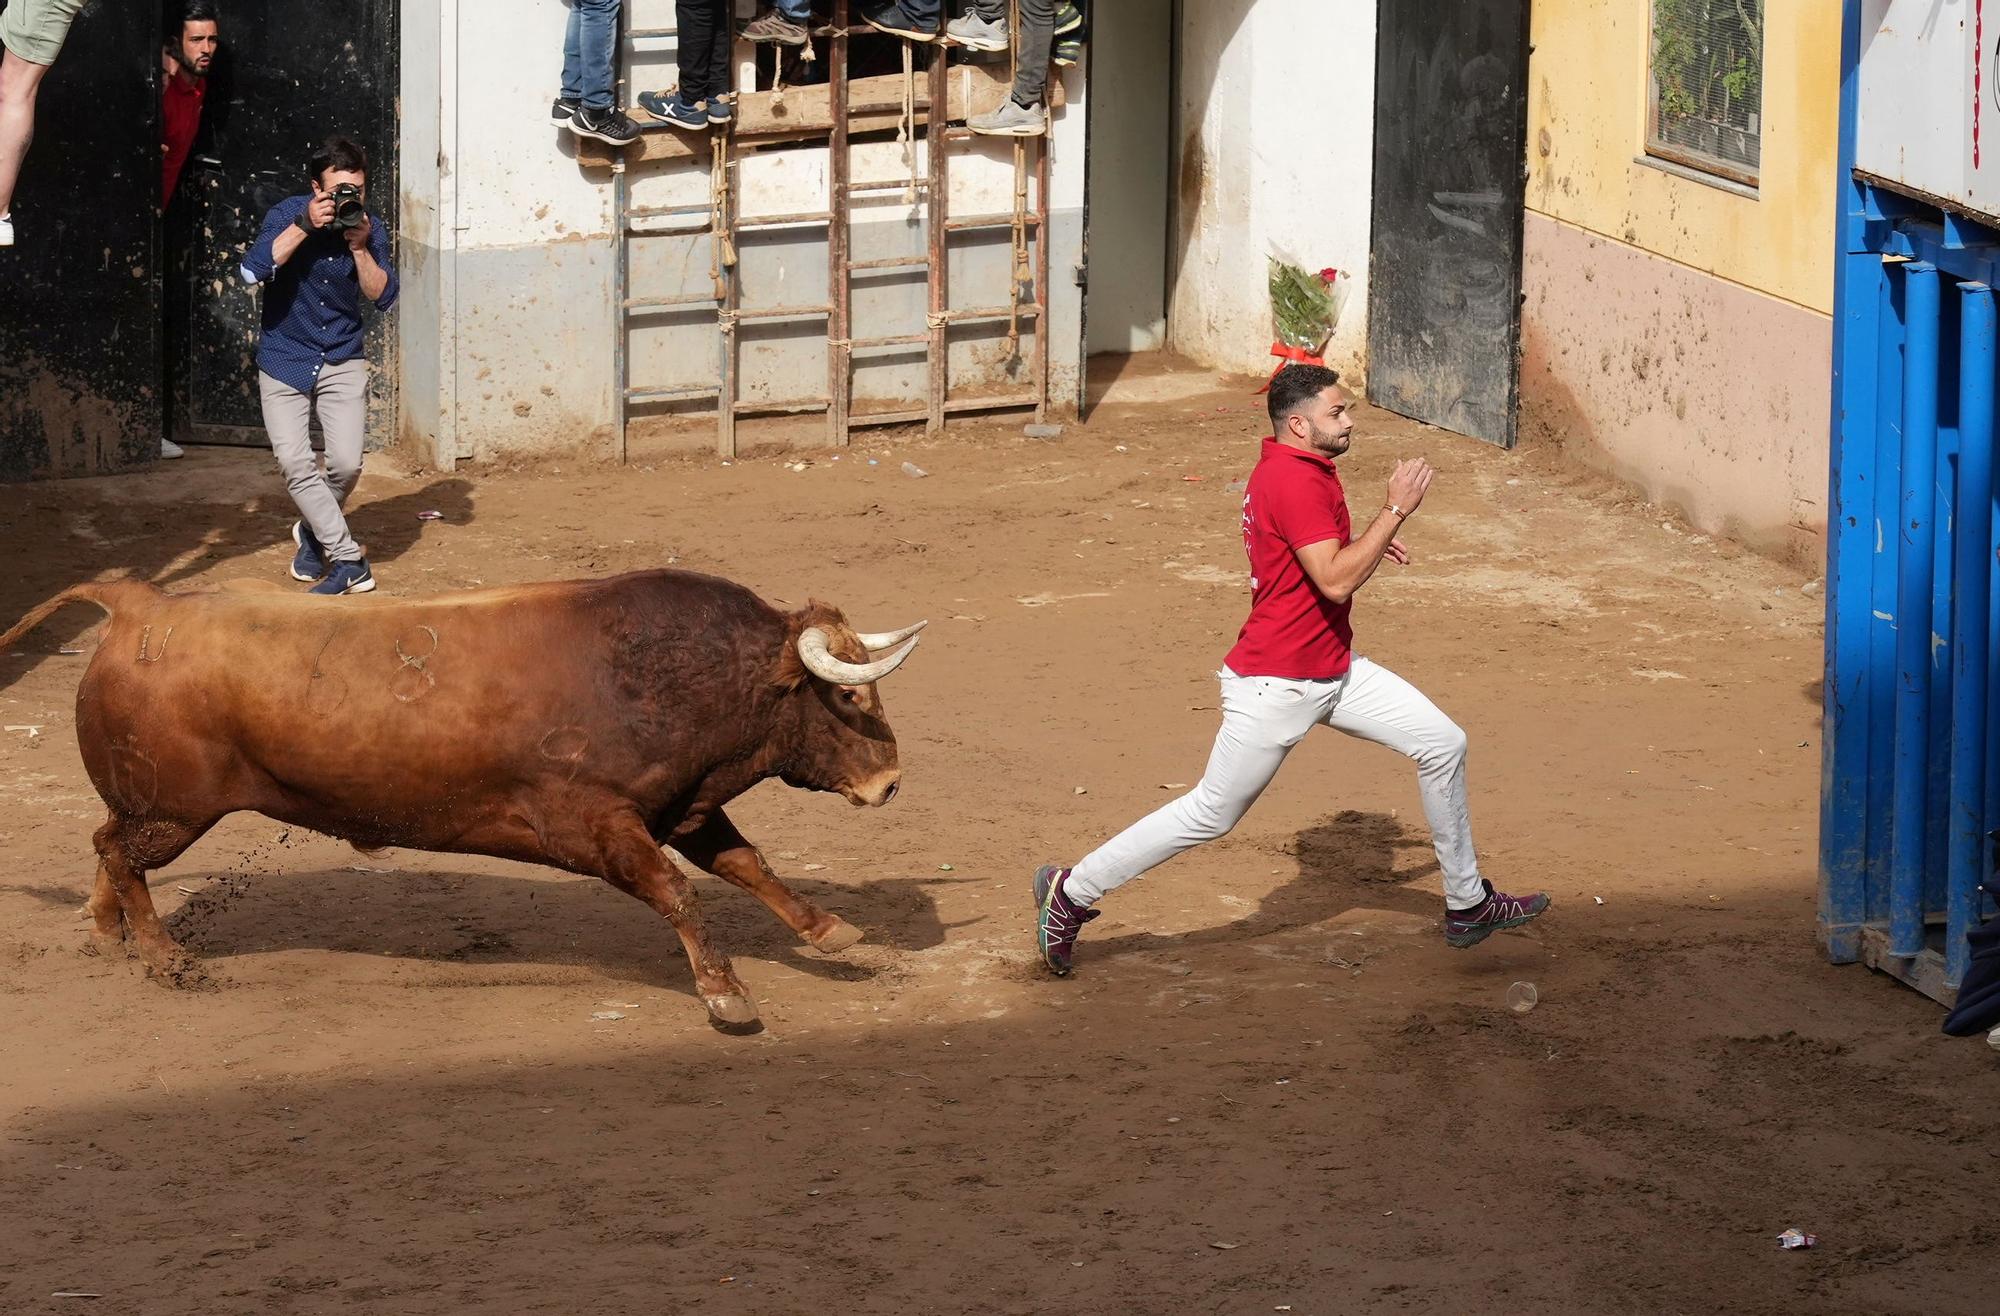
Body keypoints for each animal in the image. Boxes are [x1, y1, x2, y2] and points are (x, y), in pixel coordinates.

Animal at [0, 568, 920, 1032]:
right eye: (848, 695)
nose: (890, 783)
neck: (667, 674)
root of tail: (142, 603)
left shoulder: (684, 807)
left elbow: (747, 864)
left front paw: (833, 931)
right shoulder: (596, 827)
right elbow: (678, 892)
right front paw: (727, 995)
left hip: (157, 805)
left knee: (107, 844)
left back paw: (105, 933)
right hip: (177, 811)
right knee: (119, 850)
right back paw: (165, 959)